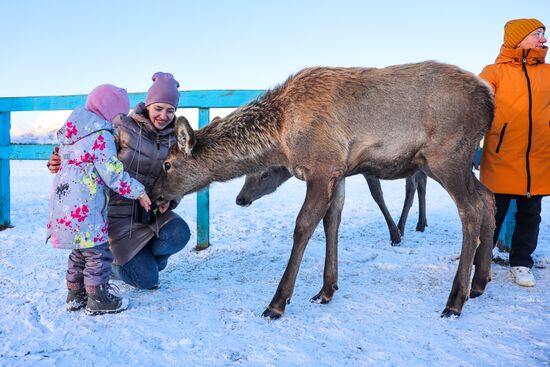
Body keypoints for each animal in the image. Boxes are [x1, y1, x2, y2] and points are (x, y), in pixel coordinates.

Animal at [235, 167, 430, 244]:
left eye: (265, 174)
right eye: (245, 174)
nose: (240, 198)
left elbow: (377, 195)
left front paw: (394, 235)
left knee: (412, 186)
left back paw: (402, 227)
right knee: (421, 182)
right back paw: (421, 223)